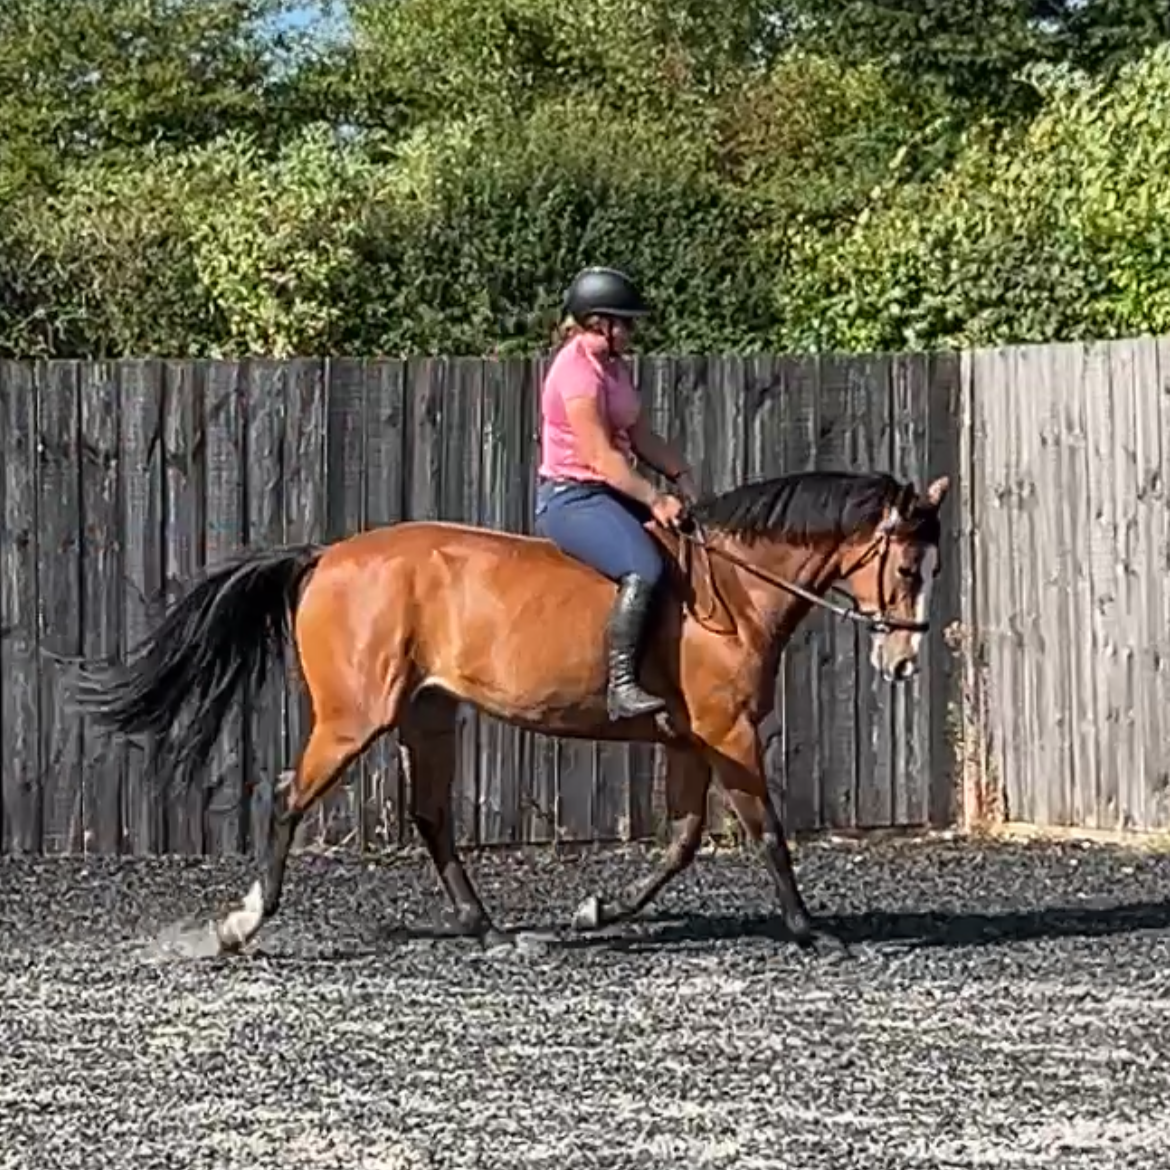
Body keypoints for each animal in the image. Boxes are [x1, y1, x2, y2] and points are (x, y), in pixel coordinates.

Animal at [70, 467, 950, 957]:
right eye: (909, 567)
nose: (903, 661)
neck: (732, 587)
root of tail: (325, 557)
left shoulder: (690, 741)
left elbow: (680, 842)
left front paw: (595, 910)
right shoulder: (728, 733)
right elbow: (767, 834)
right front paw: (811, 931)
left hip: (427, 715)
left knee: (430, 815)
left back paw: (490, 931)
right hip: (355, 719)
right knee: (290, 797)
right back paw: (241, 926)